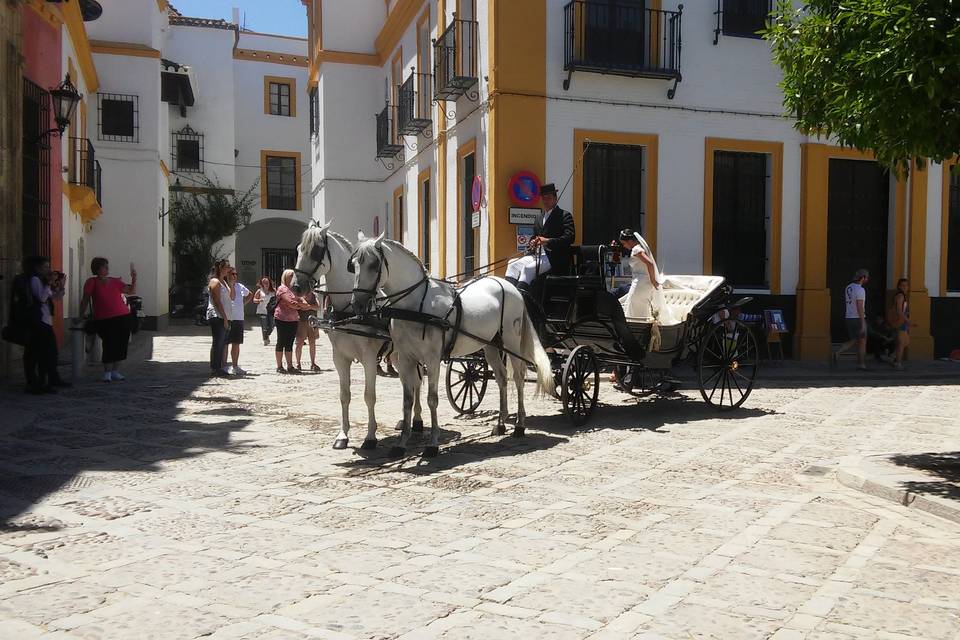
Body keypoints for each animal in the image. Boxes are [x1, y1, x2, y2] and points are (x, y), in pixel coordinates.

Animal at [290, 222, 422, 452]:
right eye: (298, 250)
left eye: (315, 251)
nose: (296, 286)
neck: (349, 309)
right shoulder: (339, 358)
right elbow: (344, 396)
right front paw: (342, 435)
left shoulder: (369, 358)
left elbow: (369, 396)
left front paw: (370, 436)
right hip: (397, 355)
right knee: (409, 382)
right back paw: (404, 421)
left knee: (417, 383)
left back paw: (418, 421)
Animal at [350, 235, 556, 460]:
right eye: (353, 265)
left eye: (374, 264)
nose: (357, 305)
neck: (414, 305)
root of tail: (511, 287)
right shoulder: (405, 358)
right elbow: (408, 400)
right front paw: (401, 444)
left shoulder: (432, 359)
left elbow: (432, 399)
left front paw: (432, 445)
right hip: (490, 345)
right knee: (502, 378)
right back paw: (501, 424)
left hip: (512, 342)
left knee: (518, 378)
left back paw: (519, 425)